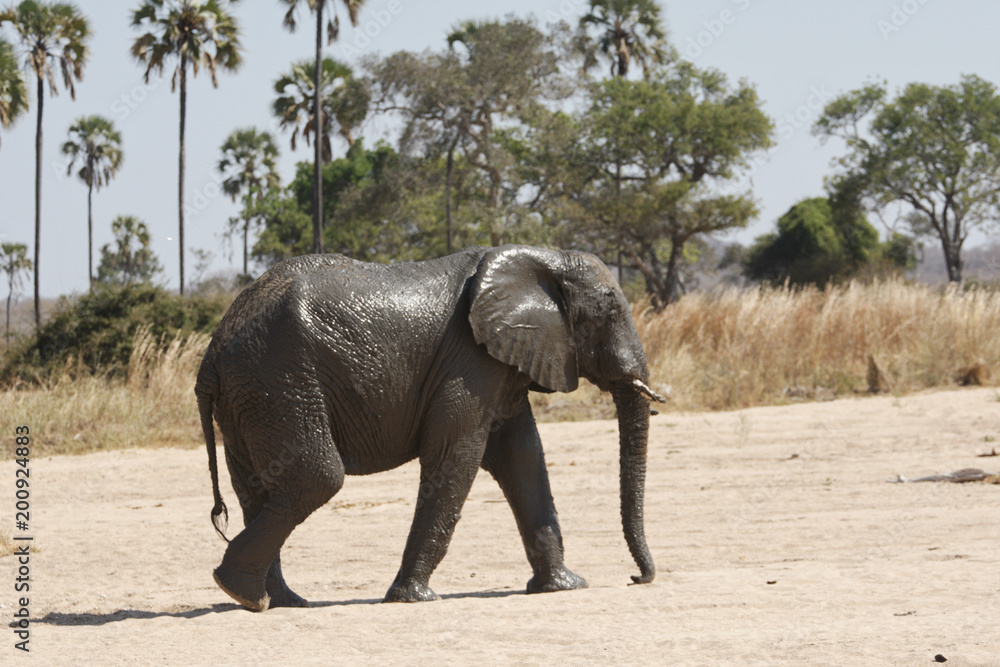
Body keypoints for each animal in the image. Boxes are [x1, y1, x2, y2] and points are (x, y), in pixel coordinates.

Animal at [196, 244, 665, 612]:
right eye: (609, 311)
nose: (636, 579)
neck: (543, 257)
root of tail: (213, 352)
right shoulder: (469, 362)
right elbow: (457, 456)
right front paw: (414, 596)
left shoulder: (501, 364)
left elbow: (523, 457)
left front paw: (564, 586)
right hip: (279, 381)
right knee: (316, 477)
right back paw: (244, 593)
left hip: (250, 395)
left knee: (260, 488)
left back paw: (274, 600)